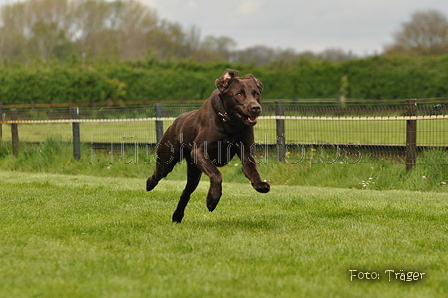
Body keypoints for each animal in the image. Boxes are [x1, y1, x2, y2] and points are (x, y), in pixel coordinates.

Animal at [146, 68, 270, 222]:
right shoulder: (199, 151)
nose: (255, 107)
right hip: (167, 161)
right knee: (158, 174)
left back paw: (177, 217)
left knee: (186, 193)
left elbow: (253, 171)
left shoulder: (247, 153)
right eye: (239, 94)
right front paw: (212, 200)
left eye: (256, 94)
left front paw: (260, 185)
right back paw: (149, 184)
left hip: (194, 173)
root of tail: (176, 122)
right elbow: (216, 174)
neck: (230, 125)